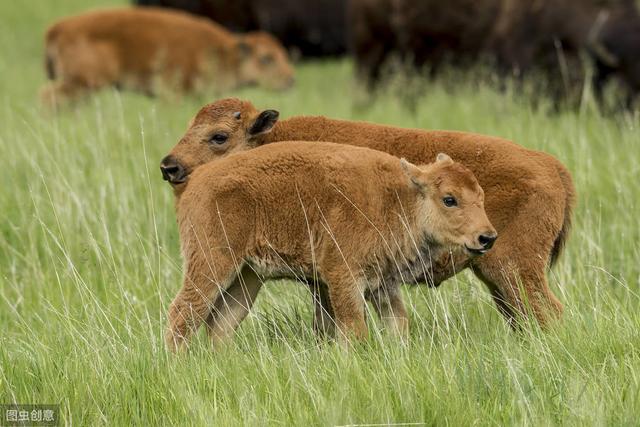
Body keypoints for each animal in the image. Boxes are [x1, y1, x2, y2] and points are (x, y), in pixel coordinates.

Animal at [41, 6, 296, 108]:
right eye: (266, 58)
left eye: (283, 54)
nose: (290, 80)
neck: (219, 53)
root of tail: (58, 27)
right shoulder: (171, 91)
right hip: (84, 81)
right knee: (47, 95)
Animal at [165, 140, 496, 352]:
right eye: (449, 199)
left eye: (481, 195)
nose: (487, 237)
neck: (399, 197)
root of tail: (196, 181)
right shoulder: (343, 277)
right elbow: (354, 328)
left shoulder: (383, 284)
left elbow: (398, 324)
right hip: (212, 264)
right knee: (182, 314)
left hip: (247, 276)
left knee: (220, 322)